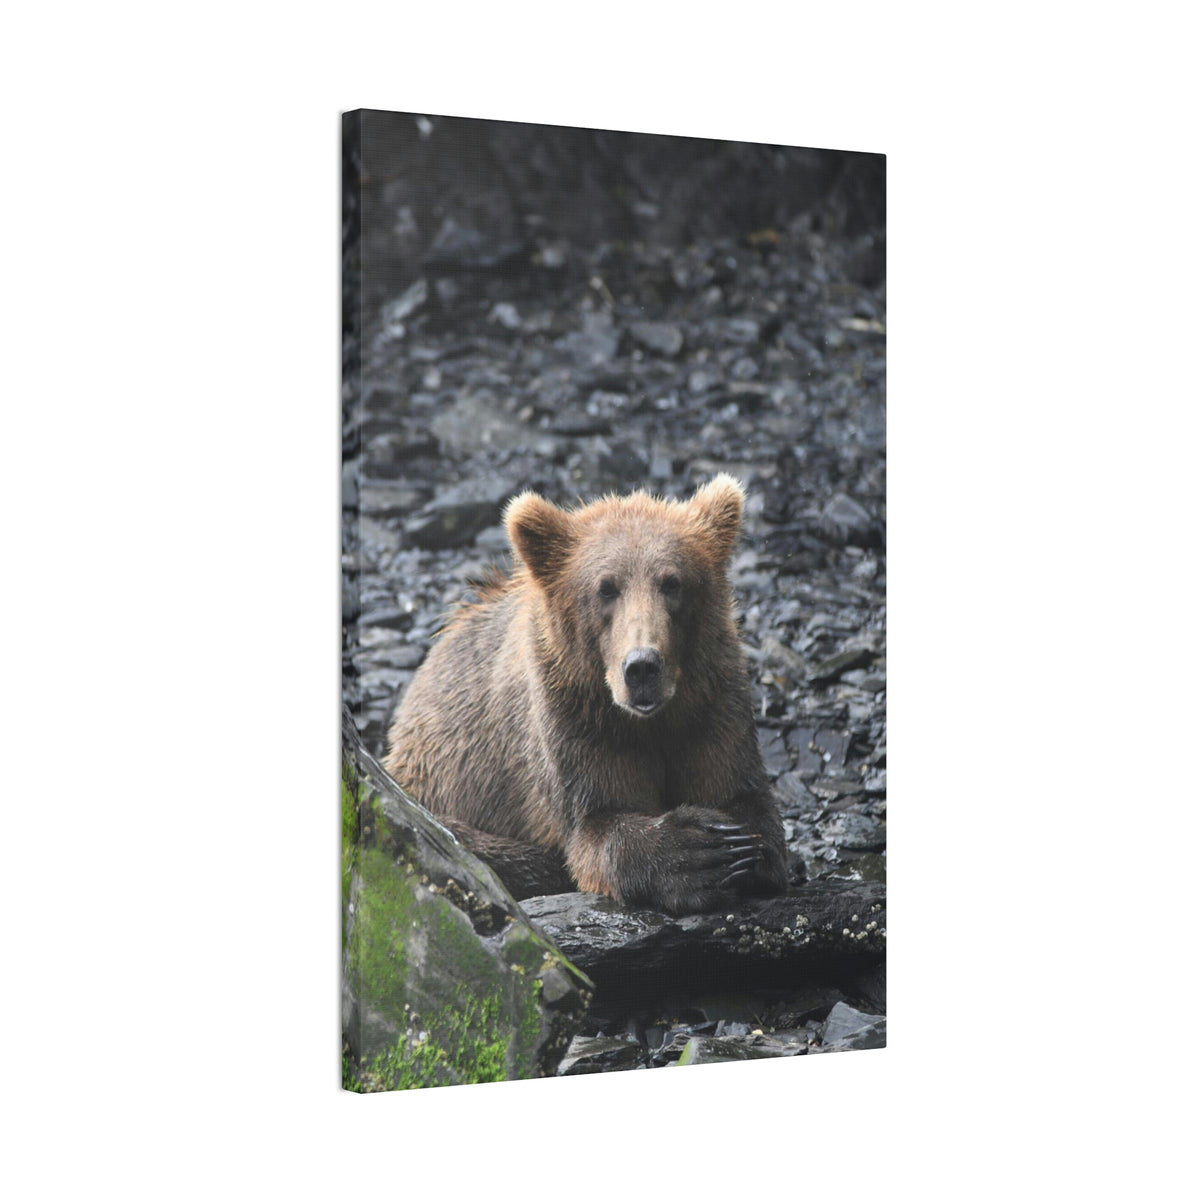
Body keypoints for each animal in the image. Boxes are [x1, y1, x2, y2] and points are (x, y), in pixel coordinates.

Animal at [383, 474, 788, 916]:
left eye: (672, 582)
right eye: (606, 588)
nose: (642, 667)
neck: (649, 721)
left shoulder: (712, 702)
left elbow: (743, 795)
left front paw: (741, 848)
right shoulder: (573, 720)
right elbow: (597, 823)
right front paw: (698, 853)